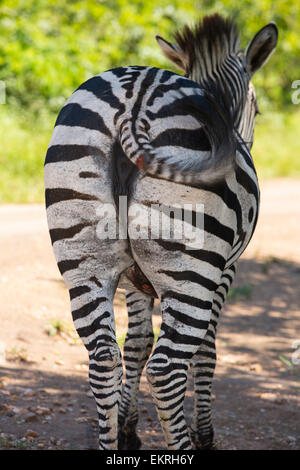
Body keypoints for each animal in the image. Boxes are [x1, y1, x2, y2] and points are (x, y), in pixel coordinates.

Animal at [44, 12, 276, 450]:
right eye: (256, 105)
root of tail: (135, 100)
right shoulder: (226, 270)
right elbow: (207, 352)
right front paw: (205, 434)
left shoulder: (134, 280)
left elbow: (135, 344)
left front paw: (128, 428)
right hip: (192, 270)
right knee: (167, 369)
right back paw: (184, 446)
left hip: (84, 264)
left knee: (104, 359)